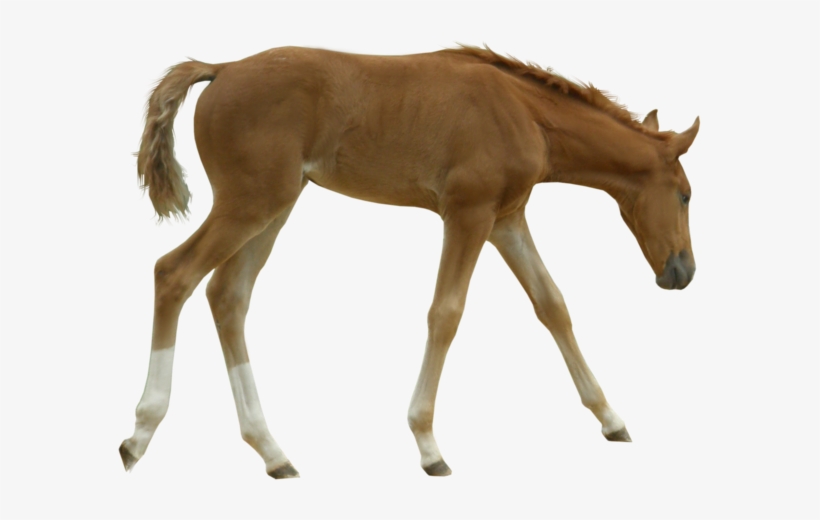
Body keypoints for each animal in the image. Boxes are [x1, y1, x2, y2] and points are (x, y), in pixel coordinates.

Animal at [120, 45, 699, 478]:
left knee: (228, 295)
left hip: (275, 207)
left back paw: (272, 451)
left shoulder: (507, 219)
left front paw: (611, 418)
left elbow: (552, 304)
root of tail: (223, 68)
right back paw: (140, 433)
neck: (524, 112)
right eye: (686, 195)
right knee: (174, 273)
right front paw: (427, 444)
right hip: (250, 203)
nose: (683, 272)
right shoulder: (467, 213)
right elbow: (446, 313)